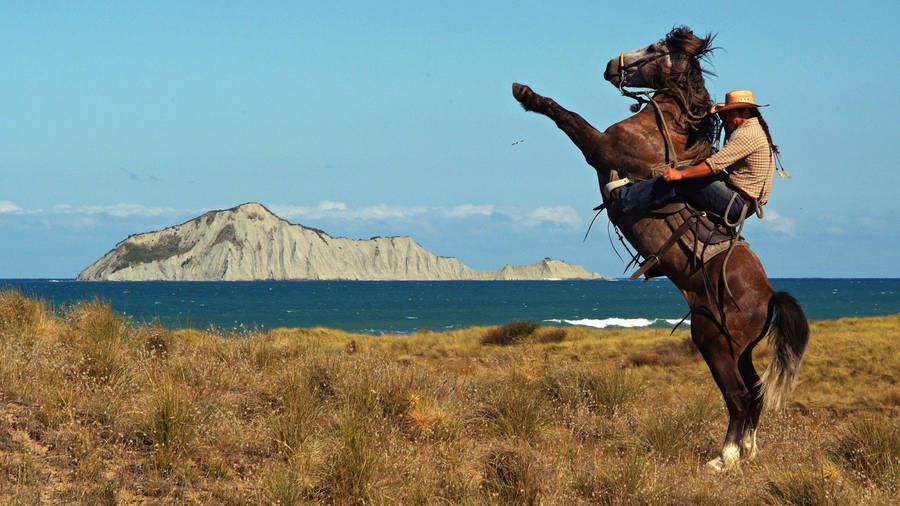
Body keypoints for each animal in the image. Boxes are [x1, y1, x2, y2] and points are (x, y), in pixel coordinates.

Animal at [512, 26, 809, 472]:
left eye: (655, 48)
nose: (610, 65)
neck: (665, 128)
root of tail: (770, 295)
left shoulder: (602, 149)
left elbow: (570, 118)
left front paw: (526, 94)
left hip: (713, 342)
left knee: (738, 397)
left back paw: (724, 459)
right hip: (738, 349)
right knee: (753, 392)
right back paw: (748, 451)